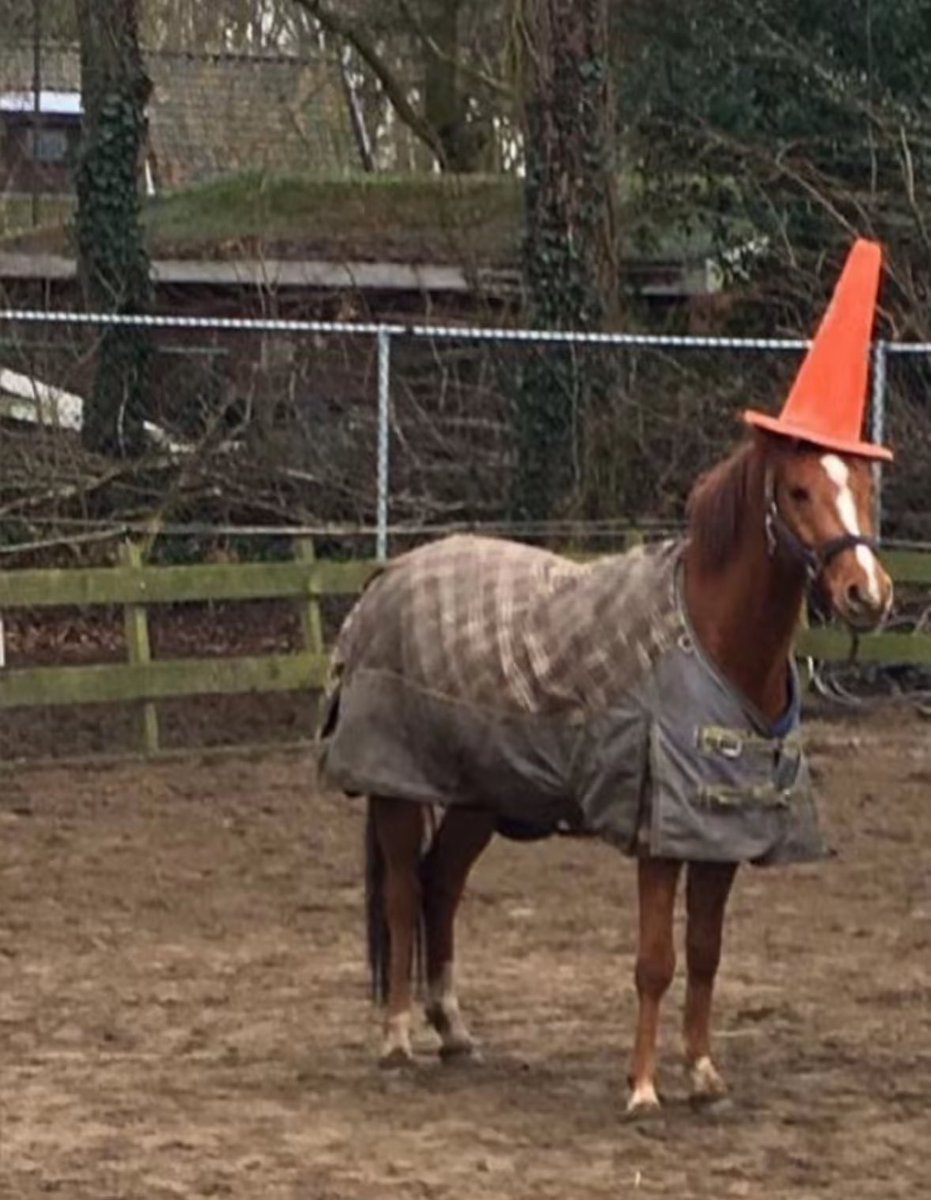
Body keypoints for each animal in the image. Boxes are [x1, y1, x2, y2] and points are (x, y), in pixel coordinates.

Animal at [318, 429, 892, 1116]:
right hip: (398, 789)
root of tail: (387, 578)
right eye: (799, 491)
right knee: (405, 895)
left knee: (442, 887)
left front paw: (703, 1074)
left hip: (477, 798)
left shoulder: (721, 831)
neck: (710, 639)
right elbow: (655, 962)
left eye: (863, 486)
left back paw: (453, 1030)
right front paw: (642, 1088)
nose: (868, 593)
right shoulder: (658, 837)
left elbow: (705, 953)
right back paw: (398, 1039)